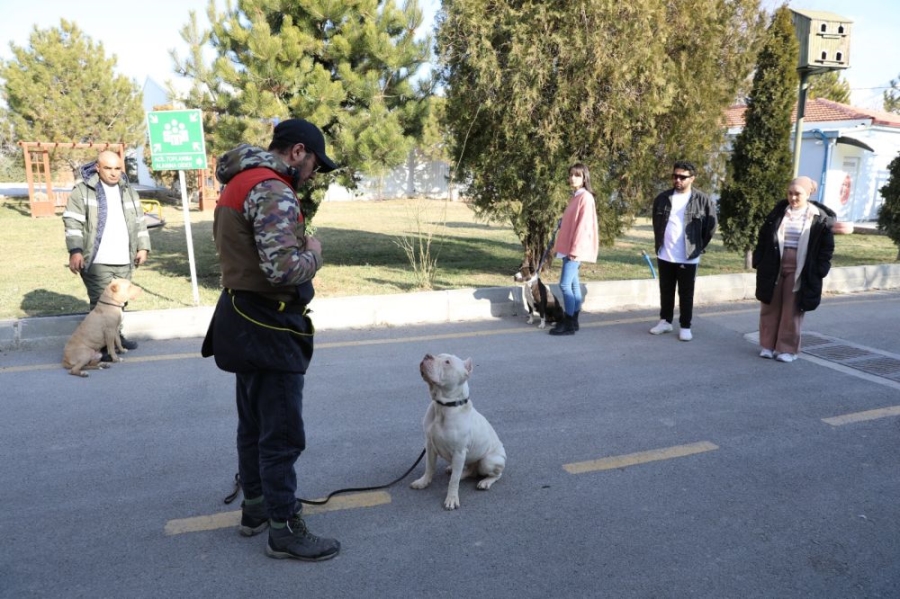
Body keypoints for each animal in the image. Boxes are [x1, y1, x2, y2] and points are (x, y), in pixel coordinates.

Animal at [410, 354, 506, 508]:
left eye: (447, 362)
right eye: (436, 355)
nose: (427, 356)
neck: (443, 406)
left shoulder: (459, 452)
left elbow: (453, 481)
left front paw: (452, 498)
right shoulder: (429, 445)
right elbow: (429, 467)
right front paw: (423, 482)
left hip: (488, 461)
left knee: (495, 474)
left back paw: (485, 482)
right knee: (470, 470)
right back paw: (459, 472)